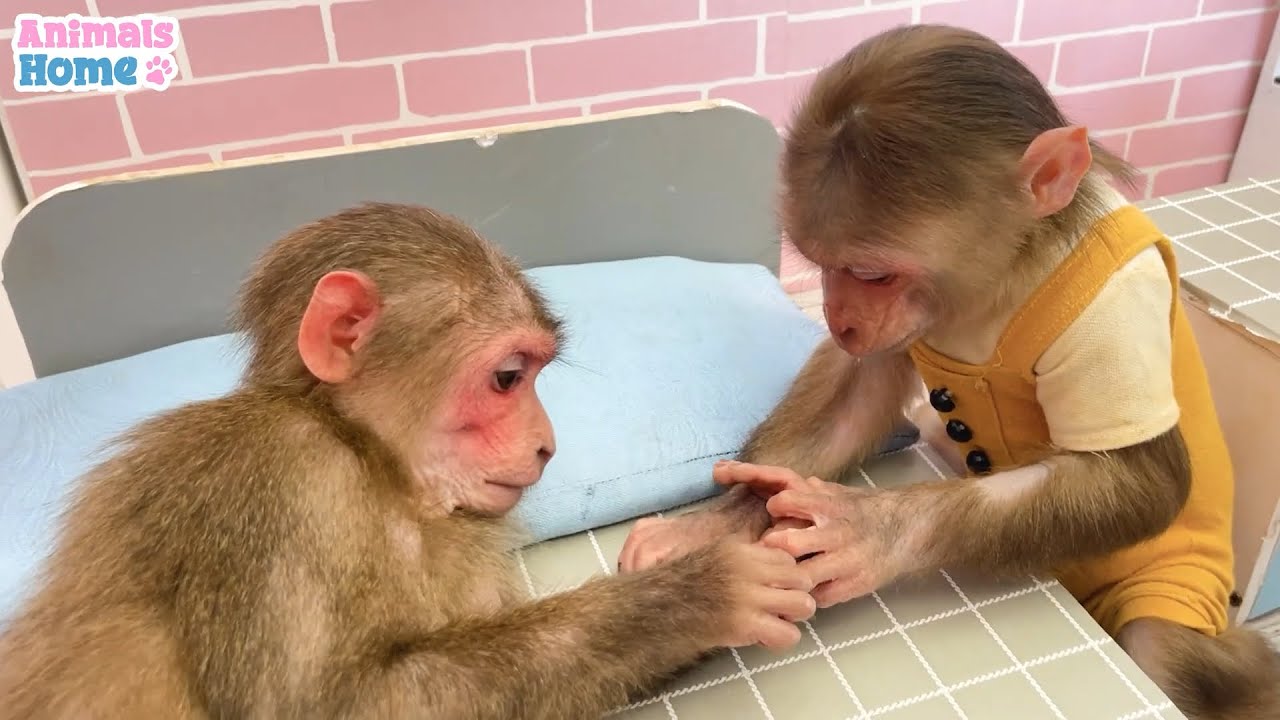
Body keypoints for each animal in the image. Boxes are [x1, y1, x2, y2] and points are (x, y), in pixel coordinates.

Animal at [0, 202, 819, 719]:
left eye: (533, 376)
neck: (374, 469)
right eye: (508, 378)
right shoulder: (266, 480)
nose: (547, 442)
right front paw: (693, 595)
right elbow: (314, 709)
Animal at [619, 24, 1280, 720]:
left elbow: (1139, 480)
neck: (1007, 278)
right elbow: (857, 399)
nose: (839, 320)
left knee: (1158, 641)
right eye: (823, 266)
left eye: (873, 274)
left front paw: (872, 531)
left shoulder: (1114, 310)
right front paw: (710, 528)